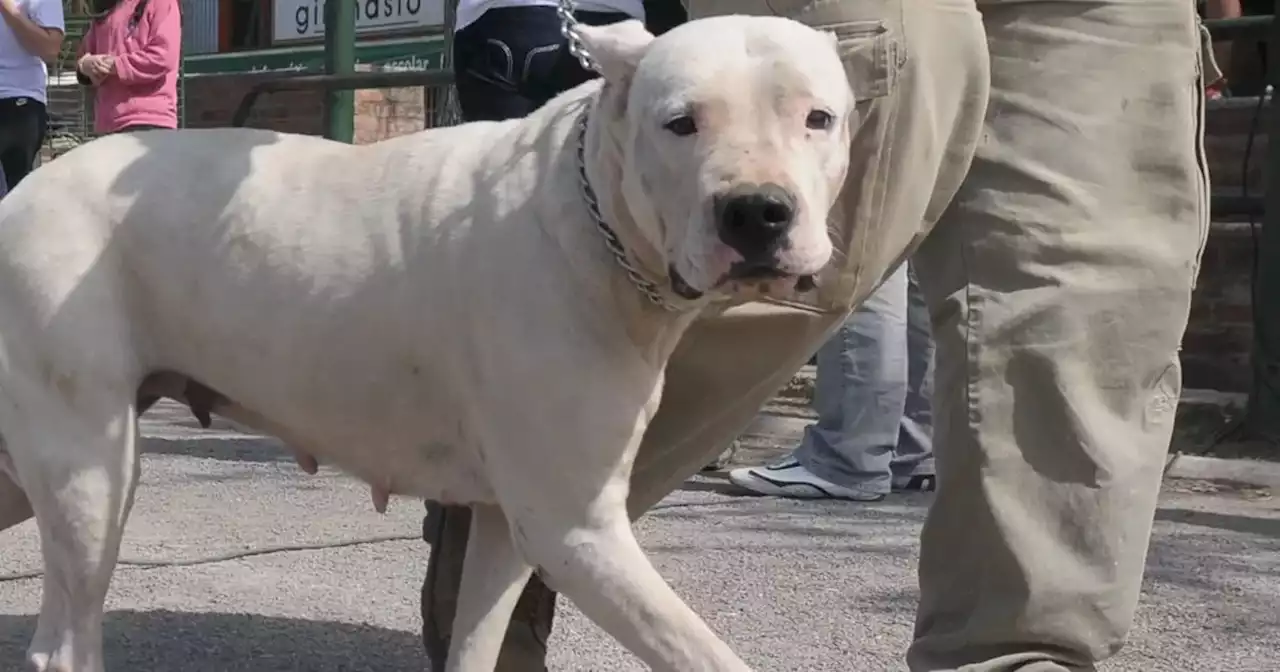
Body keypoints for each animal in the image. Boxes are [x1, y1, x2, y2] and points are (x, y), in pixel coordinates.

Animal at [0, 15, 849, 670]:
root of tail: (23, 193)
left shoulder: (514, 527)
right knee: (65, 643)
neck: (588, 212)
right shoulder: (577, 529)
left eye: (820, 119)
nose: (757, 211)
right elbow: (710, 655)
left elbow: (477, 639)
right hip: (91, 473)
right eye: (680, 122)